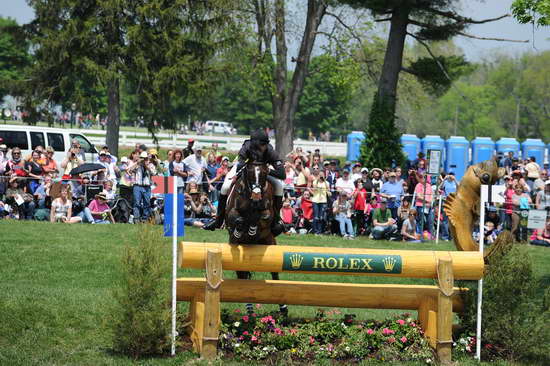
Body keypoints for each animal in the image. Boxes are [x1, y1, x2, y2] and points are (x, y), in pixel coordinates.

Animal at [226, 162, 292, 316]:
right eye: (249, 174)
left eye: (263, 175)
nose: (256, 196)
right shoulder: (232, 212)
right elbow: (238, 219)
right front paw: (241, 229)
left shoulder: (267, 213)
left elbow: (263, 216)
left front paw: (252, 228)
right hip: (234, 246)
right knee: (241, 275)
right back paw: (250, 309)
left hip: (270, 242)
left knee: (274, 273)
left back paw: (283, 308)